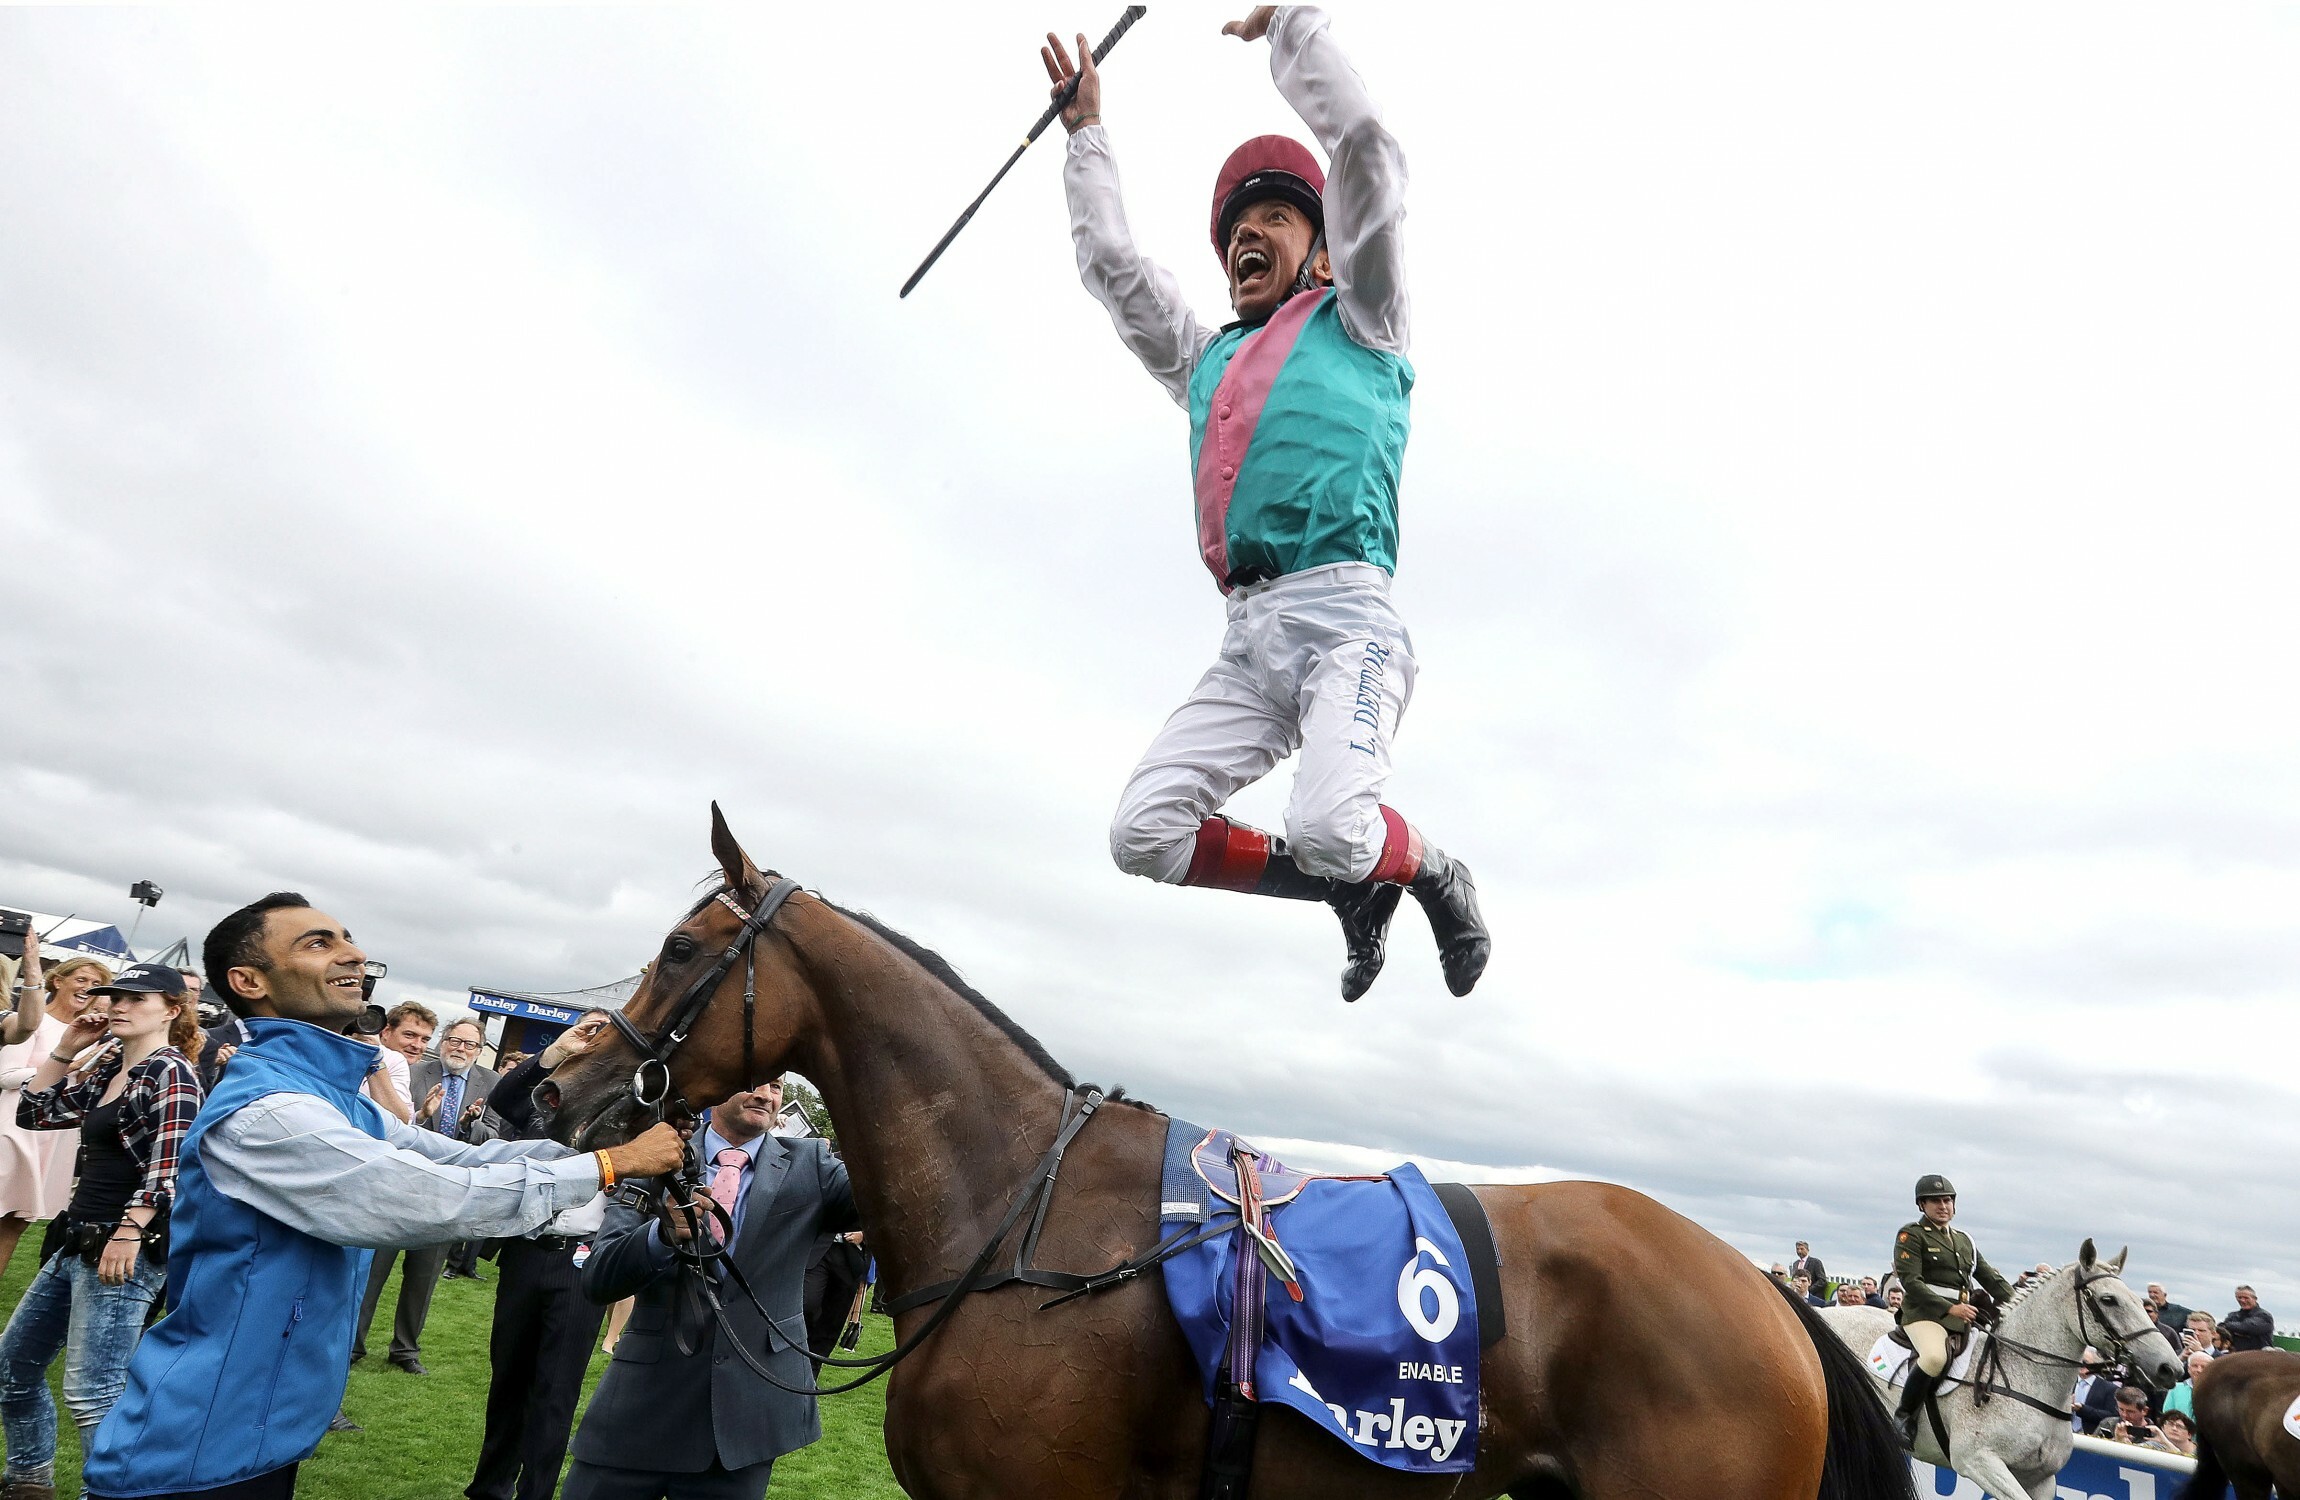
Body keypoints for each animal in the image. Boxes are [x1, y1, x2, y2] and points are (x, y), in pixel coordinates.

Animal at [1812, 1242, 2171, 1500]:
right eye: (2109, 1300)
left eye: (2140, 1301)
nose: (2170, 1367)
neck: (2026, 1376)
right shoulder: (1978, 1461)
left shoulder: (2040, 1479)